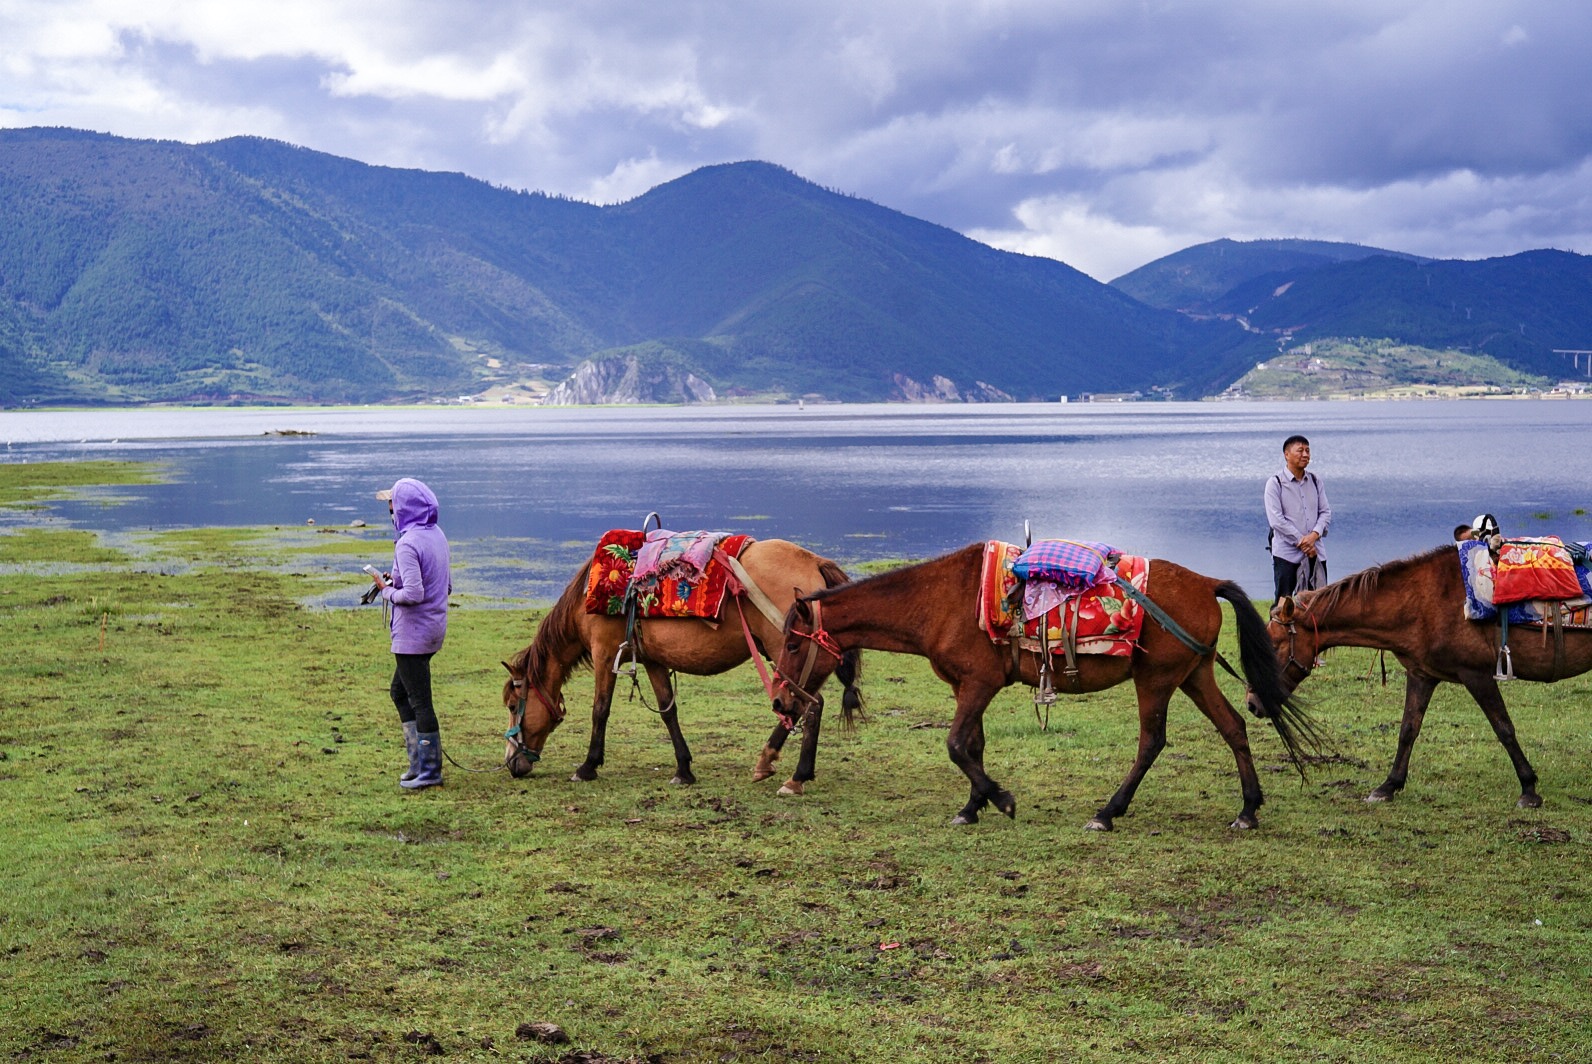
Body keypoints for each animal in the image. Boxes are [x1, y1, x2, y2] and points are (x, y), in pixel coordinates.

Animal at [503, 535, 866, 793]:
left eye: (511, 704)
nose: (511, 764)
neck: (589, 595)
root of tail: (815, 560)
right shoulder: (652, 660)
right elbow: (668, 710)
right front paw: (684, 770)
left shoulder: (604, 652)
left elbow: (600, 710)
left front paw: (587, 767)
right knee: (804, 705)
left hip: (787, 653)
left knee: (809, 705)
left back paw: (791, 773)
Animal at [773, 541, 1318, 828]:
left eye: (794, 644)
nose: (780, 699)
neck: (938, 601)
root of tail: (1207, 584)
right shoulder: (965, 687)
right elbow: (973, 744)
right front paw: (972, 807)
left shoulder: (979, 683)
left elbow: (955, 745)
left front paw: (1000, 799)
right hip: (1194, 675)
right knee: (1234, 728)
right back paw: (1248, 809)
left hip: (1157, 680)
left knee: (1152, 741)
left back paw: (1108, 811)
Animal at [1260, 544, 1585, 809]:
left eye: (1273, 645)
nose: (1254, 703)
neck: (1421, 603)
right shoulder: (1421, 674)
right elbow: (1408, 729)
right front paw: (1388, 786)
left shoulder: (1476, 674)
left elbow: (1503, 728)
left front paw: (1529, 789)